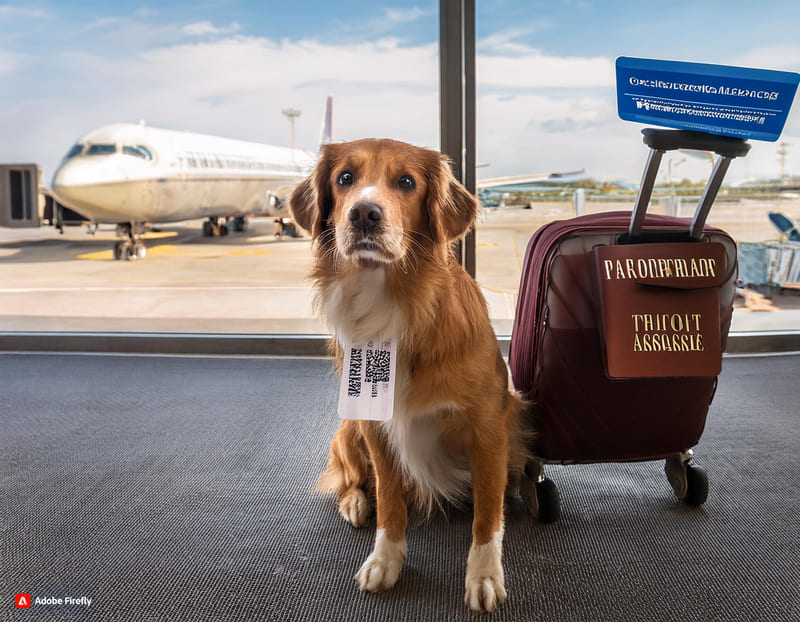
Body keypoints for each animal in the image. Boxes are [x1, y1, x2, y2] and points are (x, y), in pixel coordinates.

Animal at [290, 138, 528, 616]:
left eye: (406, 182)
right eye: (345, 178)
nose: (364, 213)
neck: (393, 304)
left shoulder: (489, 427)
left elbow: (487, 511)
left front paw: (484, 575)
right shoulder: (374, 425)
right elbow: (390, 500)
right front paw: (386, 561)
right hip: (348, 428)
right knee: (348, 478)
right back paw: (356, 501)